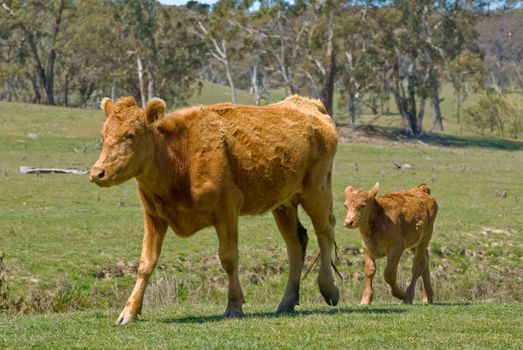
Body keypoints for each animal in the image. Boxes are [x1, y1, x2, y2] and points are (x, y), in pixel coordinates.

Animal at [90, 94, 340, 324]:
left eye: (130, 134)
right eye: (103, 134)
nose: (97, 172)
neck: (178, 157)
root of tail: (308, 105)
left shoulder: (226, 211)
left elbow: (229, 259)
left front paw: (234, 306)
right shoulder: (154, 217)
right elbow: (145, 263)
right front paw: (129, 312)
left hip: (315, 191)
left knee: (325, 232)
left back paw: (329, 289)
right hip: (283, 205)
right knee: (295, 244)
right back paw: (287, 302)